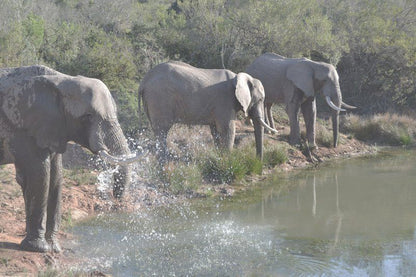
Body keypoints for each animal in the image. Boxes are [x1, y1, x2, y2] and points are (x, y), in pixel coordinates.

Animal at [0, 65, 141, 252]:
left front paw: (55, 247)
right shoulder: (21, 127)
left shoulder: (53, 127)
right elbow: (39, 176)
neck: (61, 79)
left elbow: (56, 178)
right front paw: (38, 248)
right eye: (88, 116)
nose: (117, 197)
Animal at [138, 60, 278, 162]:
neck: (238, 77)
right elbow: (228, 130)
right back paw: (163, 161)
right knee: (162, 131)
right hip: (160, 99)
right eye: (260, 99)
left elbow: (215, 131)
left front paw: (220, 157)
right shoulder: (225, 101)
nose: (258, 162)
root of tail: (144, 81)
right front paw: (228, 161)